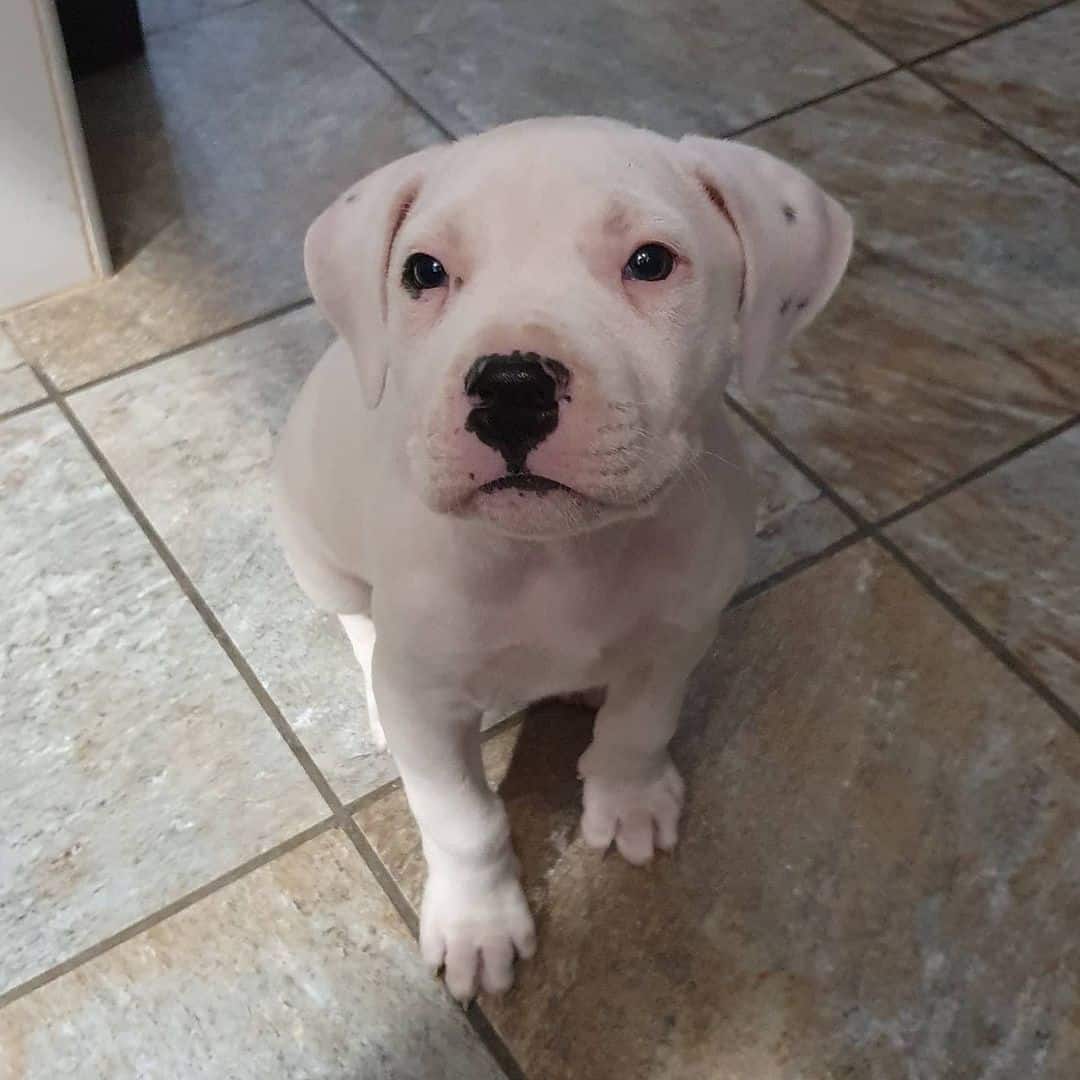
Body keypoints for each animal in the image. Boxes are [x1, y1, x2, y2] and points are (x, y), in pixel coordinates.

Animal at [272, 113, 851, 997]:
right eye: (423, 271)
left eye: (651, 262)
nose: (511, 386)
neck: (558, 557)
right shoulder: (431, 705)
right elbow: (462, 819)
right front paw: (478, 924)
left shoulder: (680, 633)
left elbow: (642, 722)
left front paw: (630, 799)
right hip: (315, 547)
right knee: (358, 624)